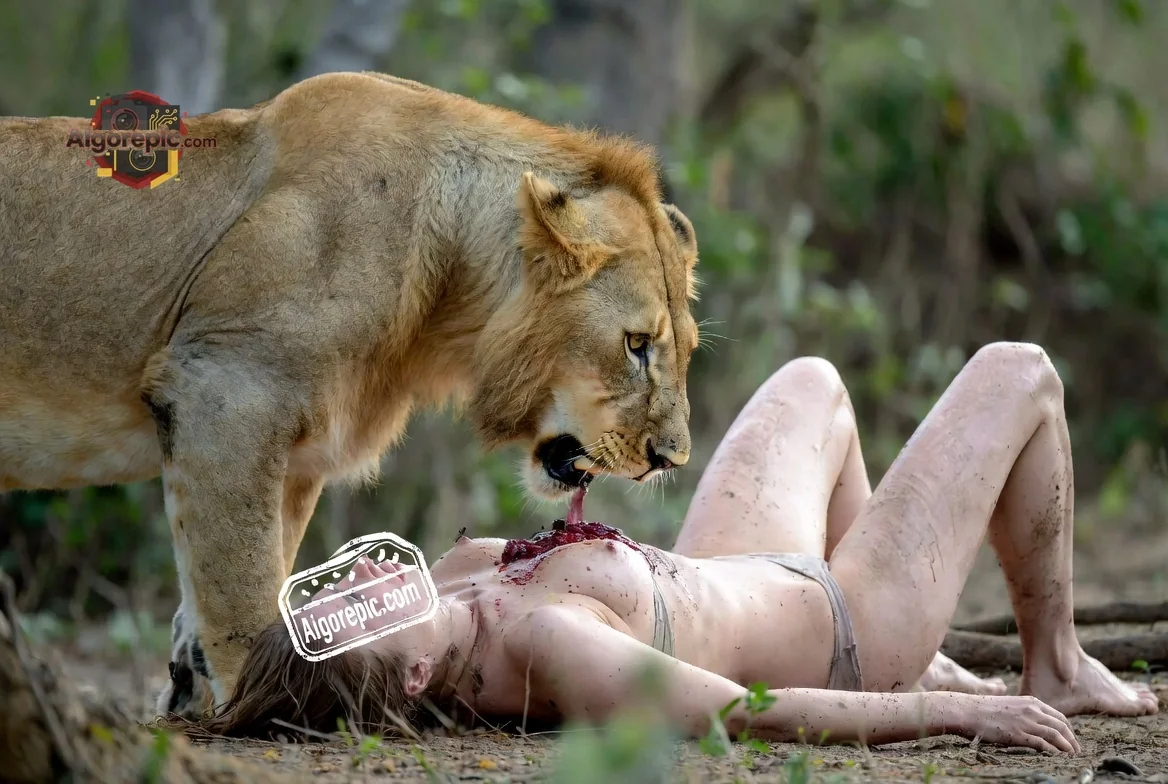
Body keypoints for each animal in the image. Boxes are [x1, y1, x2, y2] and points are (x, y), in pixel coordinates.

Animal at [0, 71, 700, 720]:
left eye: (686, 349)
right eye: (637, 345)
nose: (671, 459)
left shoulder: (291, 453)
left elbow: (247, 572)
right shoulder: (225, 387)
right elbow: (242, 590)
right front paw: (258, 699)